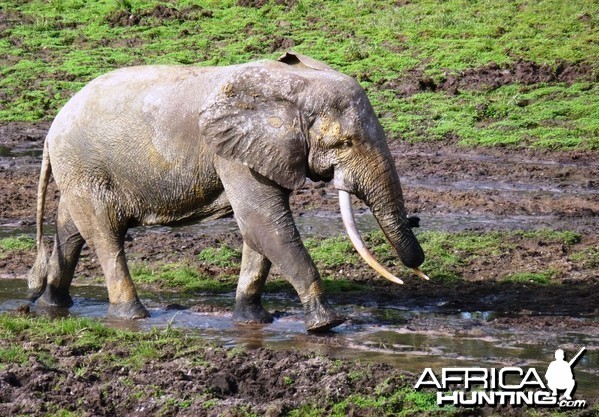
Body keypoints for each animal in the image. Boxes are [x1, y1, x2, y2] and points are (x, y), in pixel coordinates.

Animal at [28, 52, 428, 332]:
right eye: (344, 143)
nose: (418, 272)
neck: (291, 83)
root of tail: (52, 129)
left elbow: (260, 231)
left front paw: (253, 322)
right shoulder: (232, 152)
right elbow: (265, 223)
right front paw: (326, 325)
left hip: (79, 170)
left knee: (72, 230)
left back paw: (52, 305)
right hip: (86, 167)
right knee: (106, 235)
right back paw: (133, 317)